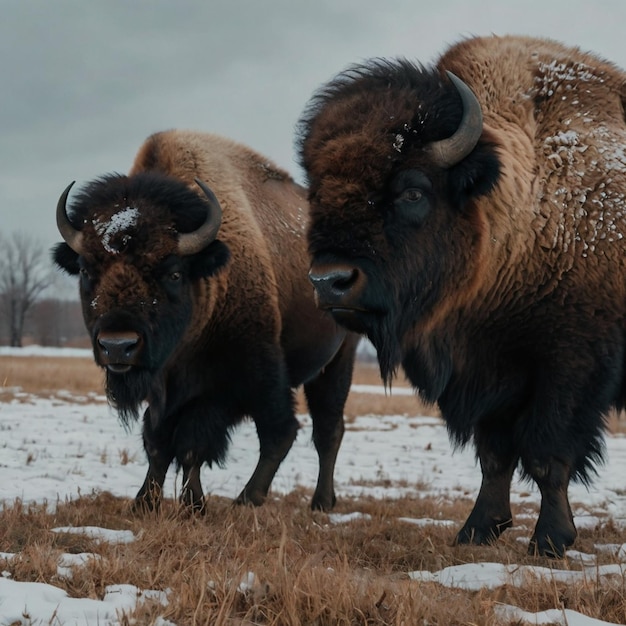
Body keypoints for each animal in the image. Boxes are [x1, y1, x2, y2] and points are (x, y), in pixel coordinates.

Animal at [53, 130, 356, 512]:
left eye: (174, 273)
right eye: (85, 270)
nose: (118, 345)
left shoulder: (238, 377)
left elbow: (201, 442)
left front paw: (198, 504)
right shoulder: (163, 390)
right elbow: (158, 443)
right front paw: (145, 502)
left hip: (339, 358)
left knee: (322, 430)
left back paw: (300, 501)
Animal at [294, 34, 624, 552]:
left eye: (412, 191)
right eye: (315, 194)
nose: (330, 280)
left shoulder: (569, 366)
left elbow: (547, 455)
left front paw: (550, 540)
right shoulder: (484, 373)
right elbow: (495, 457)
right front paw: (478, 530)